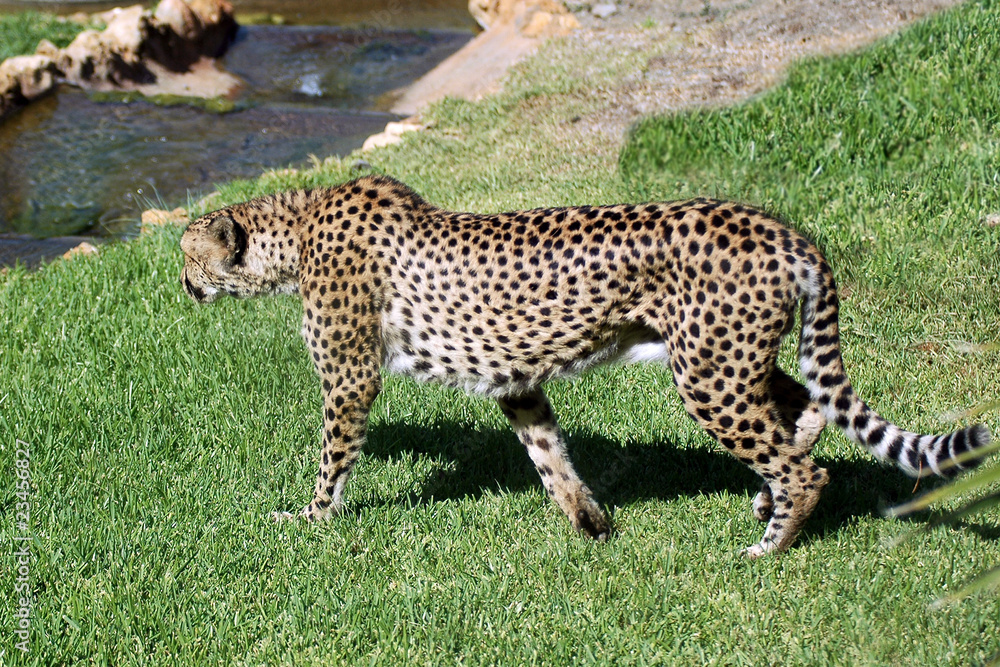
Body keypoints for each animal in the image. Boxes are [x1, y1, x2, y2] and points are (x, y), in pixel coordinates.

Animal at [179, 174, 992, 557]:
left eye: (190, 254)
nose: (182, 285)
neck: (294, 233)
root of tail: (779, 227)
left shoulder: (351, 377)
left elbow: (333, 457)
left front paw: (311, 517)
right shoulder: (515, 378)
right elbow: (549, 454)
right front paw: (590, 522)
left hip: (708, 375)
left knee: (804, 463)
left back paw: (770, 543)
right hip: (734, 359)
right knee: (807, 408)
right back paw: (769, 493)